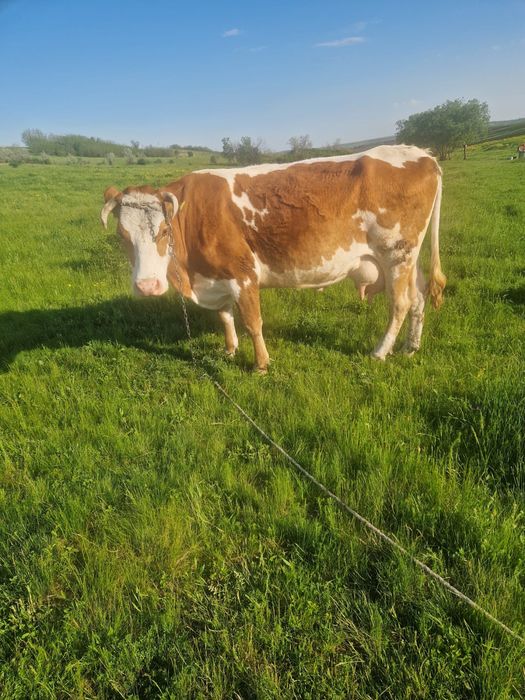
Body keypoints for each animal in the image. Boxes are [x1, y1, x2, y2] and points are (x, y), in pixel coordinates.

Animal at [100, 145, 445, 372]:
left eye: (163, 231)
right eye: (122, 236)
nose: (147, 286)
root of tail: (421, 153)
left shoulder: (243, 273)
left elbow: (253, 322)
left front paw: (261, 365)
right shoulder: (216, 275)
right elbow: (225, 315)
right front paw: (230, 350)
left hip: (397, 252)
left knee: (400, 304)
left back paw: (380, 351)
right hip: (408, 257)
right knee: (418, 299)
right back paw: (410, 348)